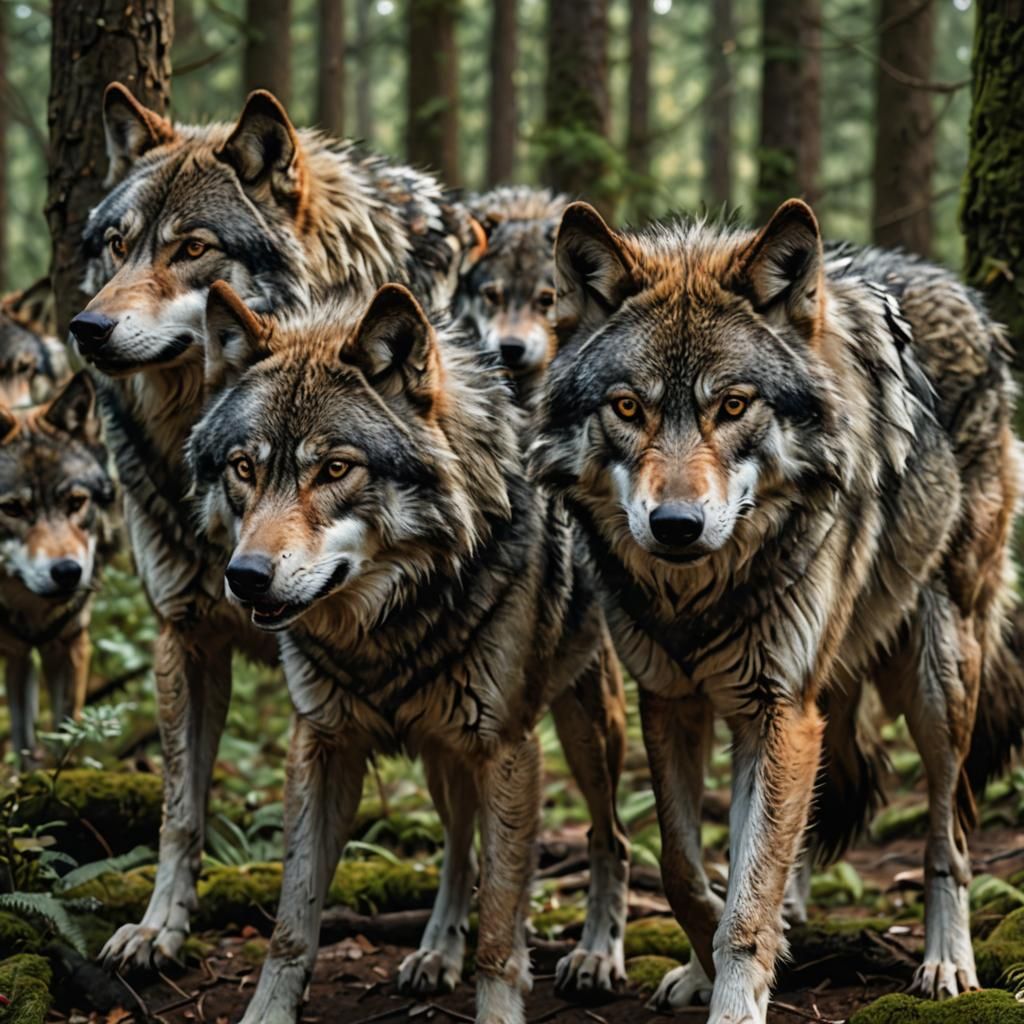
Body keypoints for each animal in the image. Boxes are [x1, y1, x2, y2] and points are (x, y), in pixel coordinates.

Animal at [0, 372, 117, 763]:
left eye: (76, 502)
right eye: (12, 509)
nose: (67, 572)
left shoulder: (70, 643)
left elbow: (68, 734)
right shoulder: (14, 651)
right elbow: (21, 736)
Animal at [186, 280, 630, 1023]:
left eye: (335, 468)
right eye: (244, 468)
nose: (244, 577)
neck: (384, 626)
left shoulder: (508, 750)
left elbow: (501, 929)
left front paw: (499, 1005)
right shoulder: (321, 744)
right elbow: (291, 923)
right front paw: (268, 1011)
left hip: (586, 732)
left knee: (611, 838)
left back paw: (598, 954)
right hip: (441, 754)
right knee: (459, 849)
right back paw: (435, 953)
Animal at [531, 198, 1024, 1023]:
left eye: (733, 405)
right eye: (628, 407)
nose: (675, 526)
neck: (701, 596)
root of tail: (967, 298)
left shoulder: (778, 706)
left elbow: (745, 898)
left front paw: (735, 997)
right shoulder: (672, 700)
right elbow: (689, 869)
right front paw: (710, 963)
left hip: (939, 680)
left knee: (949, 831)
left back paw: (948, 962)